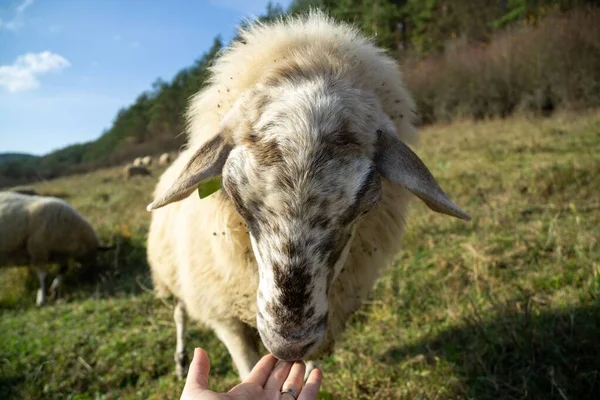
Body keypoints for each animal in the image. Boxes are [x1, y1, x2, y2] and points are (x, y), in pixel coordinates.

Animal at [148, 11, 472, 382]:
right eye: (237, 201)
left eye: (364, 206)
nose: (289, 344)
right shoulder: (226, 319)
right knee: (179, 314)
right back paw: (180, 360)